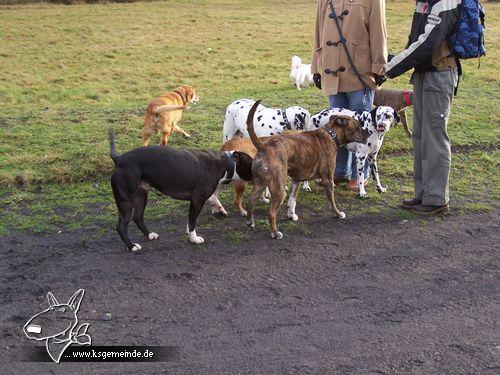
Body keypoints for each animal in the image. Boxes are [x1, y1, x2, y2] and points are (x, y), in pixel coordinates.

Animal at [107, 131, 252, 251]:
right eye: (252, 163)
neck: (228, 163)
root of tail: (119, 159)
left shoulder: (196, 199)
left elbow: (194, 216)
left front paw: (218, 208)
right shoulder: (197, 200)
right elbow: (193, 221)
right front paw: (194, 239)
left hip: (141, 196)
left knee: (137, 217)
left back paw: (149, 235)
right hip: (126, 201)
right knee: (121, 226)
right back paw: (131, 246)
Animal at [245, 100, 366, 241]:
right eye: (357, 126)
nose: (368, 134)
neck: (331, 134)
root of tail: (263, 147)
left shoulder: (296, 180)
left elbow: (292, 201)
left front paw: (291, 215)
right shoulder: (328, 179)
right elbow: (332, 201)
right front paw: (337, 213)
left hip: (259, 184)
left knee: (250, 202)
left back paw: (250, 222)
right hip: (279, 190)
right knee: (271, 213)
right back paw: (275, 233)